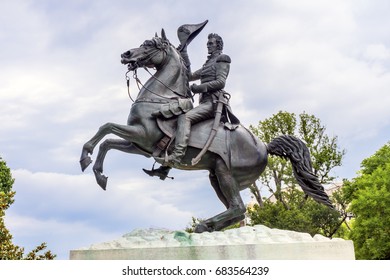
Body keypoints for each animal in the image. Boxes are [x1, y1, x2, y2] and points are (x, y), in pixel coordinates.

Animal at [79, 29, 332, 233]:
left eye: (149, 44)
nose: (126, 54)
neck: (160, 98)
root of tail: (264, 146)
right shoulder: (140, 146)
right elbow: (107, 142)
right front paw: (98, 174)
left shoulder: (142, 135)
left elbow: (106, 127)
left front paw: (85, 158)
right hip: (215, 177)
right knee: (237, 211)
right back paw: (208, 227)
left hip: (225, 173)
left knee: (238, 207)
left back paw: (203, 225)